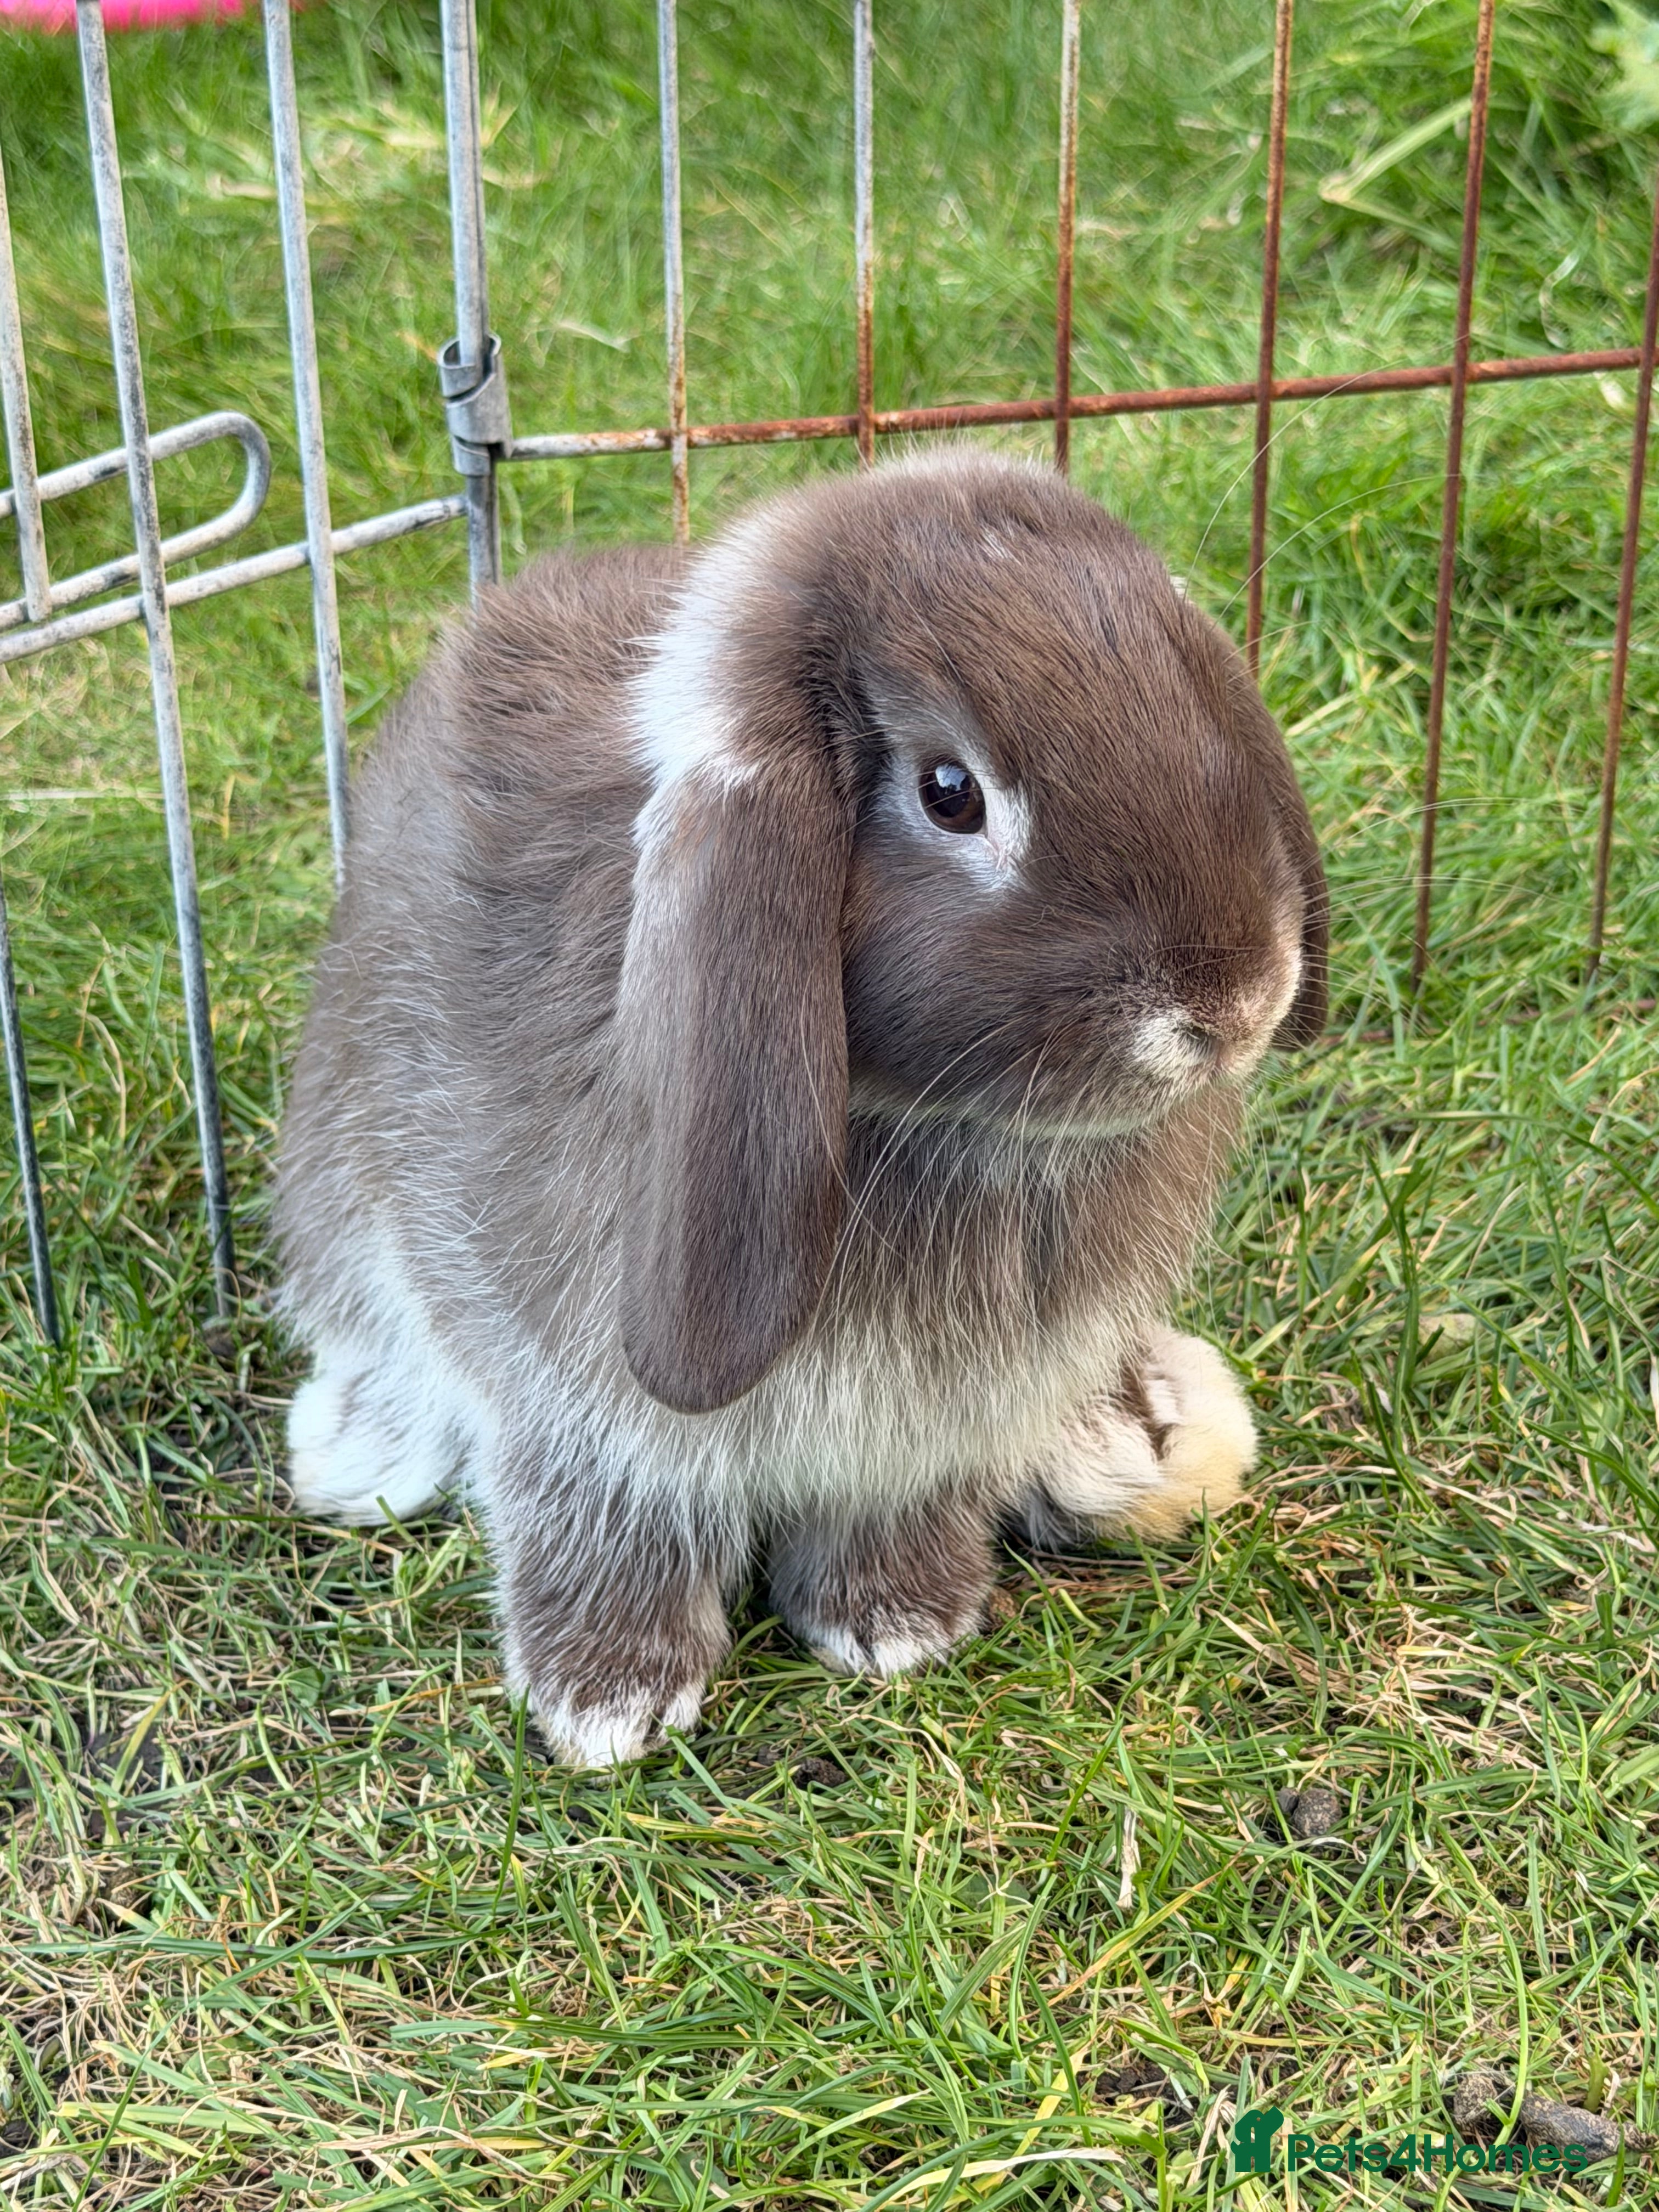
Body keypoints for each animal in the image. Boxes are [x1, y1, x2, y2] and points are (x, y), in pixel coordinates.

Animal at [274, 450, 1327, 1767]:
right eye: (949, 794)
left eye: (1198, 699)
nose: (1236, 1004)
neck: (945, 1131)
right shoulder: (572, 1397)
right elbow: (604, 1514)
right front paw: (609, 1701)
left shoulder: (936, 1428)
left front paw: (897, 1625)